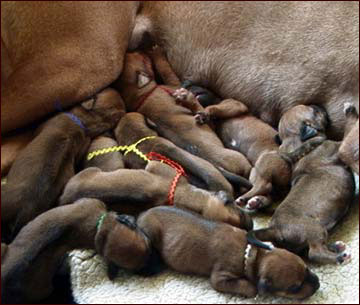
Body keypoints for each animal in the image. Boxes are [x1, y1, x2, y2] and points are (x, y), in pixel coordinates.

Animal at [114, 45, 252, 183]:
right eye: (142, 57)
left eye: (135, 54)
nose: (140, 50)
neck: (141, 95)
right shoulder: (173, 83)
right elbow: (165, 69)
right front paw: (157, 53)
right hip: (237, 155)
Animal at [136, 205, 320, 298]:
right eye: (295, 287)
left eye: (306, 267)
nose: (318, 284)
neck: (253, 255)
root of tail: (141, 214)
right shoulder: (220, 278)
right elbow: (251, 288)